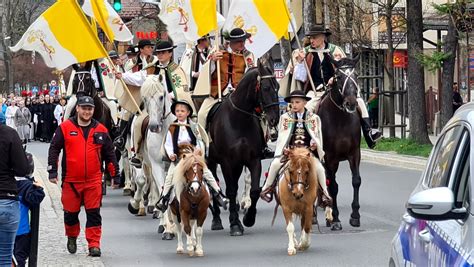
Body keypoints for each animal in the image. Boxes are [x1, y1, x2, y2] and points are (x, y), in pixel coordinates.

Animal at [208, 56, 282, 237]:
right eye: (266, 87)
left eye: (277, 87)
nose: (275, 118)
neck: (238, 119)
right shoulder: (226, 162)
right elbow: (230, 190)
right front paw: (235, 224)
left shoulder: (253, 160)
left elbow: (254, 190)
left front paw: (248, 218)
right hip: (211, 162)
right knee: (214, 187)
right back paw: (217, 220)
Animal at [318, 55, 362, 231]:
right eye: (338, 76)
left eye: (356, 75)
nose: (351, 103)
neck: (341, 119)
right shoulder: (330, 158)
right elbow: (334, 187)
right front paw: (335, 218)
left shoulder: (354, 153)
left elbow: (356, 181)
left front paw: (355, 216)